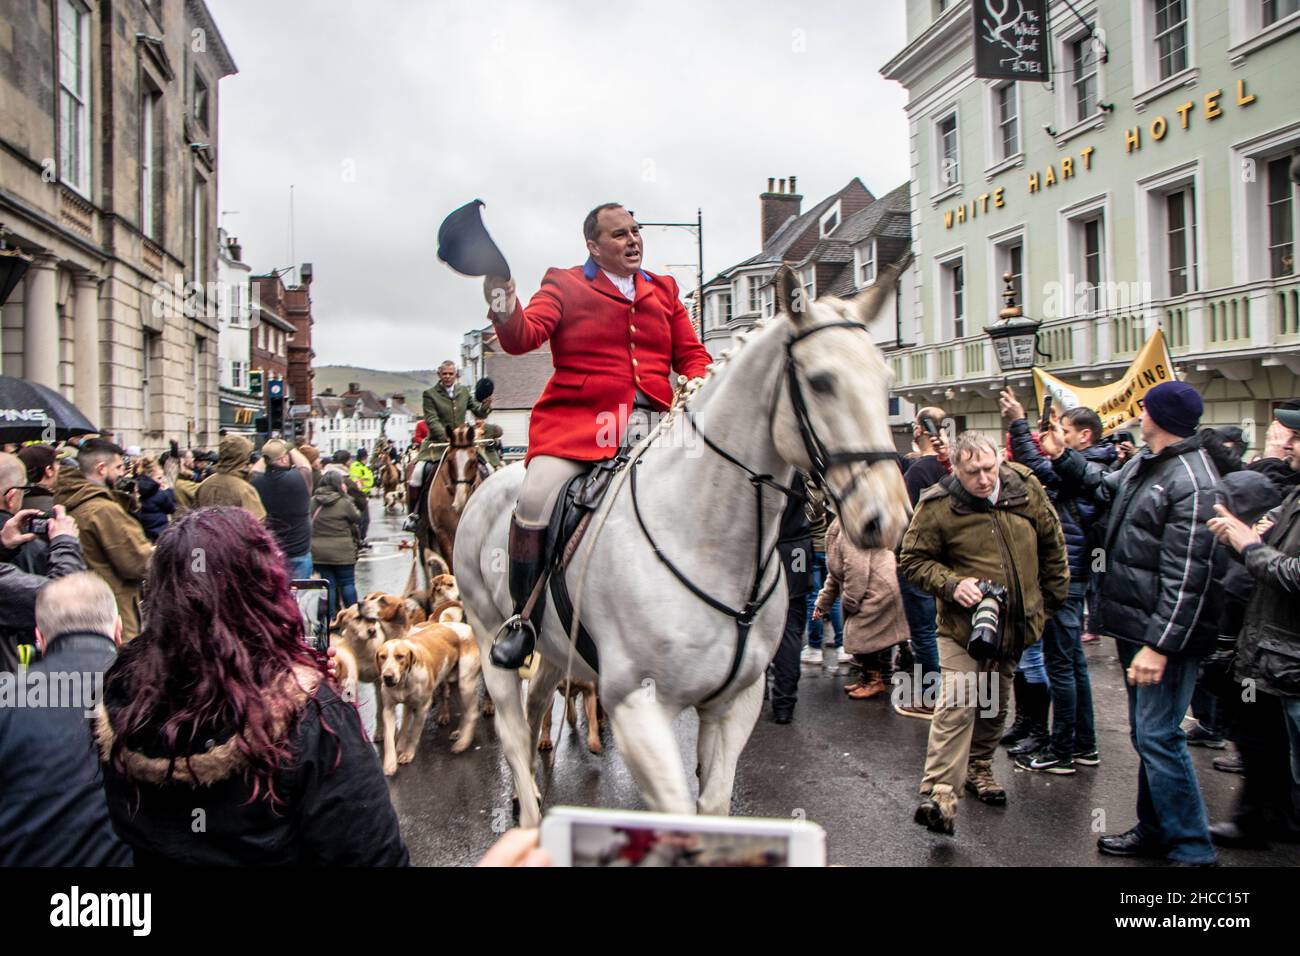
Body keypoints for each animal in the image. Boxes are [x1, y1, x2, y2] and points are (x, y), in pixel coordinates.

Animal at [452, 264, 909, 832]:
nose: (888, 517)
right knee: (513, 734)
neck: (710, 543)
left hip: (556, 647)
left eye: (886, 380)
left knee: (537, 704)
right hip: (489, 633)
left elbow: (712, 808)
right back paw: (529, 814)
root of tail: (489, 482)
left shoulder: (734, 704)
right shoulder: (636, 708)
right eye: (822, 381)